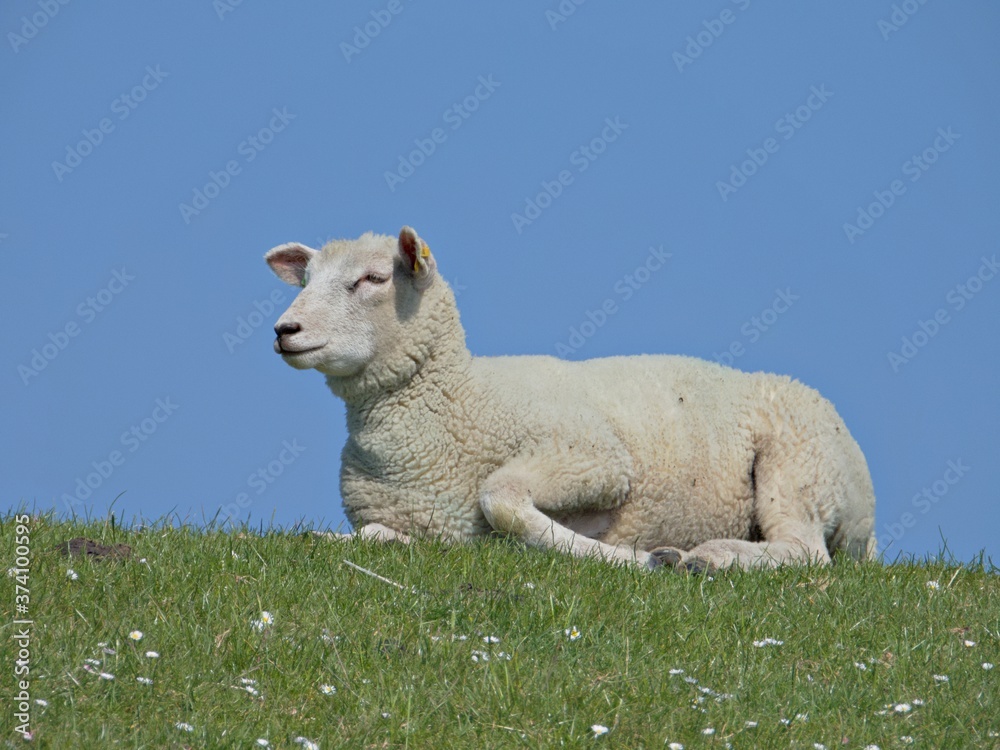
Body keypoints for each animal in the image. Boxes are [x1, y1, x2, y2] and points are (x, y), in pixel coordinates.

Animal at [265, 227, 876, 571]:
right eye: (307, 279)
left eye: (372, 279)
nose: (284, 330)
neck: (456, 398)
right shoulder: (407, 522)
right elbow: (369, 536)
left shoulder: (594, 458)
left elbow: (501, 499)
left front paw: (633, 557)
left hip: (799, 463)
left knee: (804, 550)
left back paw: (714, 556)